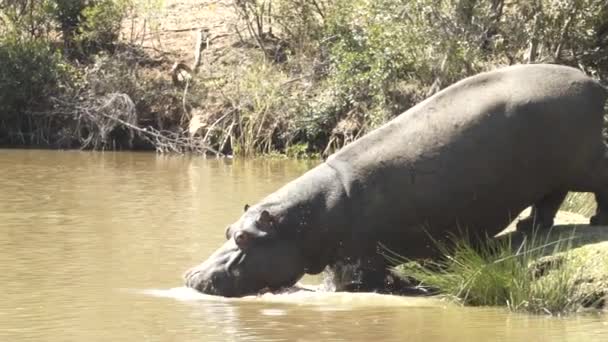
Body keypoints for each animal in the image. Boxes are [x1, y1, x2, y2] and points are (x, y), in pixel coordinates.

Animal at [184, 64, 608, 296]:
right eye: (227, 231)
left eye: (244, 238)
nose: (192, 276)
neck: (307, 219)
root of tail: (593, 82)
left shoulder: (359, 258)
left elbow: (364, 282)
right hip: (555, 171)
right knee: (550, 200)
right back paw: (528, 227)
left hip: (586, 162)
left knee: (596, 186)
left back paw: (595, 221)